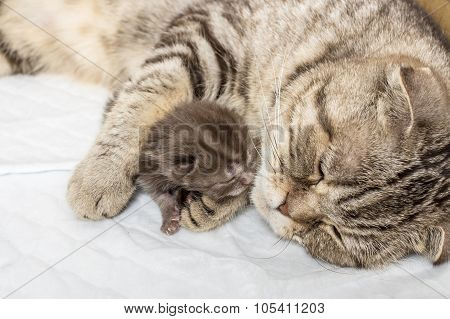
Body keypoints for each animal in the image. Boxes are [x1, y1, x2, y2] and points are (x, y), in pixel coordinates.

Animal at [137, 101, 256, 236]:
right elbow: (160, 195)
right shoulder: (150, 169)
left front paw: (189, 195)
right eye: (228, 180)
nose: (250, 180)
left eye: (249, 160)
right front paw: (170, 217)